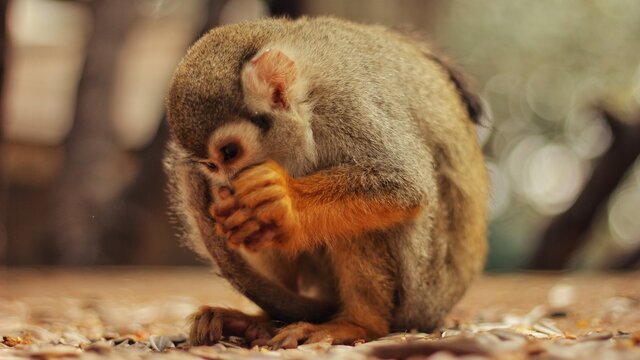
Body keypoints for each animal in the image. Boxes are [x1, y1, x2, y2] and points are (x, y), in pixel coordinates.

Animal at [162, 16, 488, 348]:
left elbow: (405, 184)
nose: (225, 186)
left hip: (421, 288)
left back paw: (359, 324)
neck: (308, 98)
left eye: (230, 152)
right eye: (211, 166)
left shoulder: (346, 104)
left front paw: (285, 198)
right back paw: (262, 321)